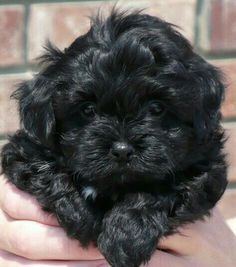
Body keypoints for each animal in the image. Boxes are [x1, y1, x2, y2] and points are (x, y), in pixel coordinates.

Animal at [0, 9, 228, 266]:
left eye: (157, 108)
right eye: (88, 110)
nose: (122, 150)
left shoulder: (205, 168)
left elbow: (161, 187)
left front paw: (126, 237)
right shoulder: (24, 150)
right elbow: (46, 169)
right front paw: (79, 213)